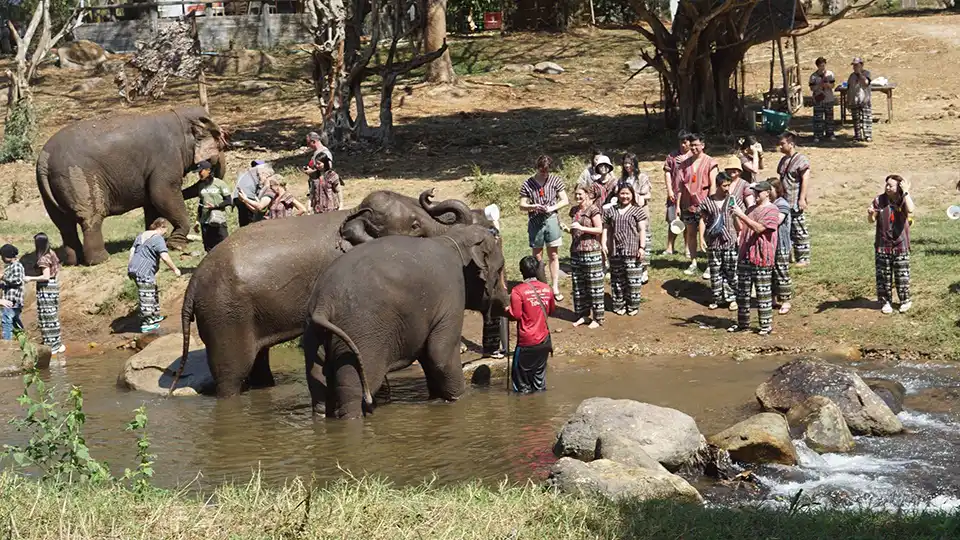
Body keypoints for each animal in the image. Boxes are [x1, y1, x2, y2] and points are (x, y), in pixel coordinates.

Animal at [36, 107, 227, 266]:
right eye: (220, 141)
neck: (178, 116)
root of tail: (44, 160)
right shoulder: (167, 158)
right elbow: (162, 193)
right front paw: (176, 245)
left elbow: (152, 203)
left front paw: (152, 236)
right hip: (79, 179)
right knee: (90, 218)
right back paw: (101, 260)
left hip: (49, 190)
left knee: (63, 224)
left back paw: (73, 261)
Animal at [177, 189, 485, 398]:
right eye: (415, 227)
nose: (429, 194)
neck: (351, 213)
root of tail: (193, 283)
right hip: (224, 315)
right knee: (231, 375)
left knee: (258, 363)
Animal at [302, 224, 509, 418]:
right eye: (500, 268)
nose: (506, 303)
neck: (453, 238)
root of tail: (323, 304)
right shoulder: (451, 296)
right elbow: (441, 354)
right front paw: (463, 400)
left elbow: (427, 356)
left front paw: (437, 399)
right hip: (360, 336)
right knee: (353, 391)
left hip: (314, 337)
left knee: (319, 389)